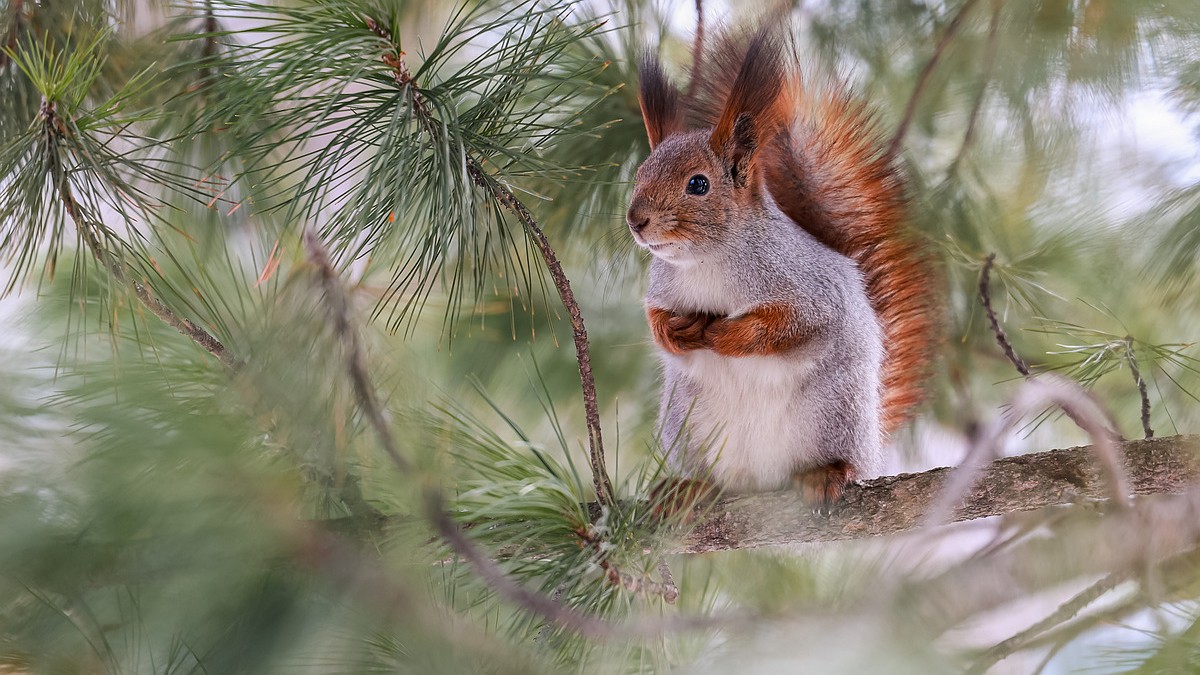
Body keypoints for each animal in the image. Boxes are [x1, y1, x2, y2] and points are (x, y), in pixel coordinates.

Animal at [624, 26, 940, 509]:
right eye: (640, 175)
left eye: (698, 184)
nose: (635, 220)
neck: (707, 260)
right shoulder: (663, 286)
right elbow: (653, 316)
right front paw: (674, 331)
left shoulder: (807, 287)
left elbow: (795, 324)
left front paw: (728, 335)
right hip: (687, 423)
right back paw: (691, 488)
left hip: (833, 411)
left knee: (839, 458)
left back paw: (828, 473)